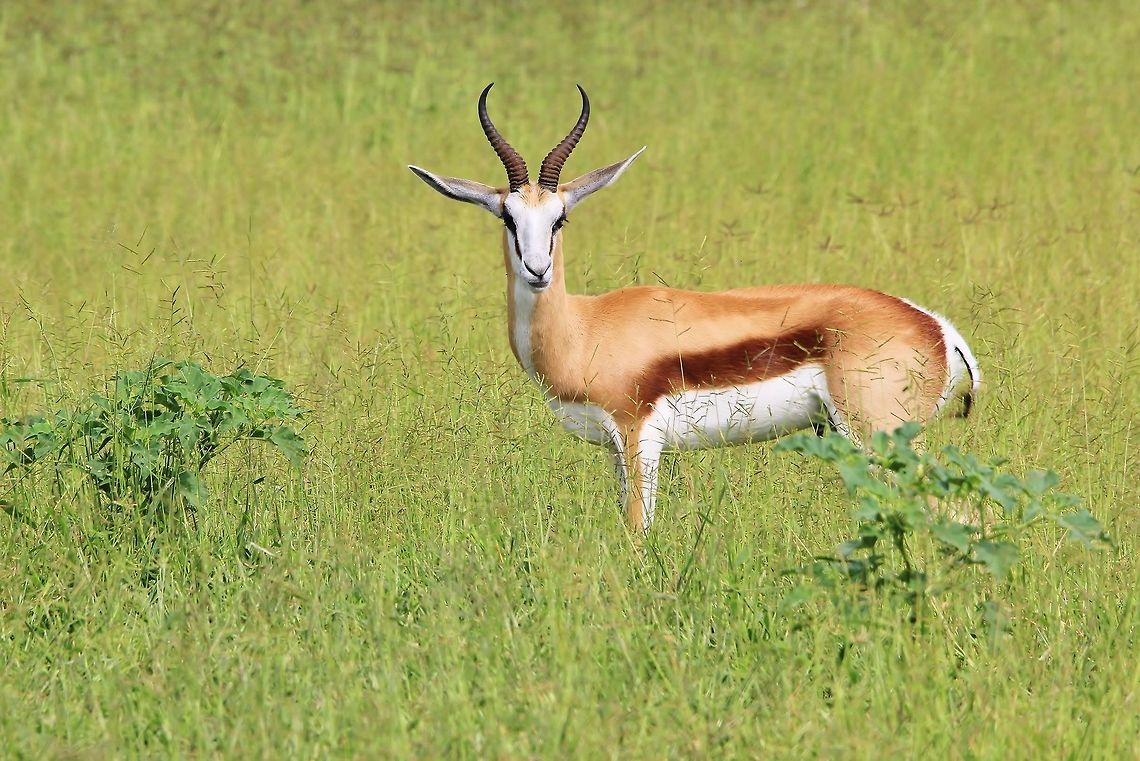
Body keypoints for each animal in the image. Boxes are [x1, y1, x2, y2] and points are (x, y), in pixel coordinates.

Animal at [409, 84, 980, 531]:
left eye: (560, 218)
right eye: (508, 217)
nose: (537, 270)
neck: (584, 328)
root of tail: (938, 329)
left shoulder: (639, 437)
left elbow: (637, 532)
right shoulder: (614, 450)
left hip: (880, 439)